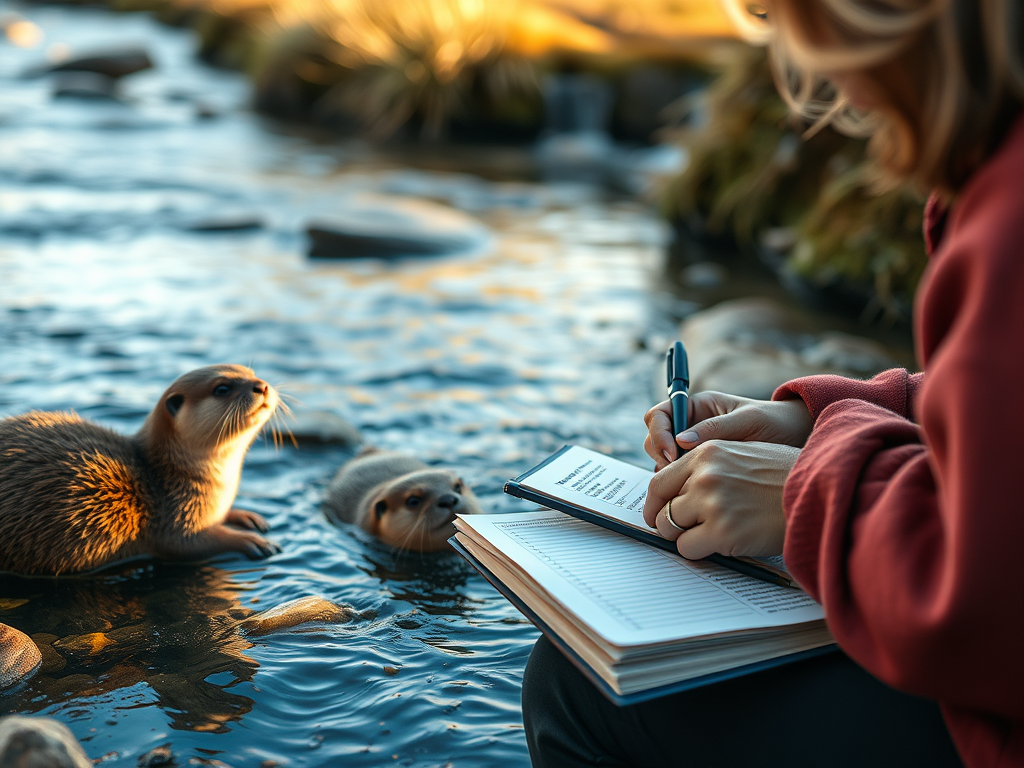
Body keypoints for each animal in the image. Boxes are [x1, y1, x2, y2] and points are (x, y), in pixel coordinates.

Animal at [0, 365, 281, 576]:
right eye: (222, 389)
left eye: (252, 372)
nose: (262, 386)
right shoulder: (174, 514)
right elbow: (189, 543)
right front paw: (251, 541)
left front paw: (246, 517)